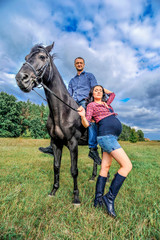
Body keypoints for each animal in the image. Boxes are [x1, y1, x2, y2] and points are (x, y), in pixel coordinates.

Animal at [16, 42, 99, 204]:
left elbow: (74, 170)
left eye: (42, 57)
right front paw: (53, 191)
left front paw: (76, 198)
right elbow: (56, 166)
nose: (21, 78)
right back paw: (93, 177)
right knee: (95, 157)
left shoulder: (73, 143)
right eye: (26, 58)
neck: (62, 111)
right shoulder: (56, 143)